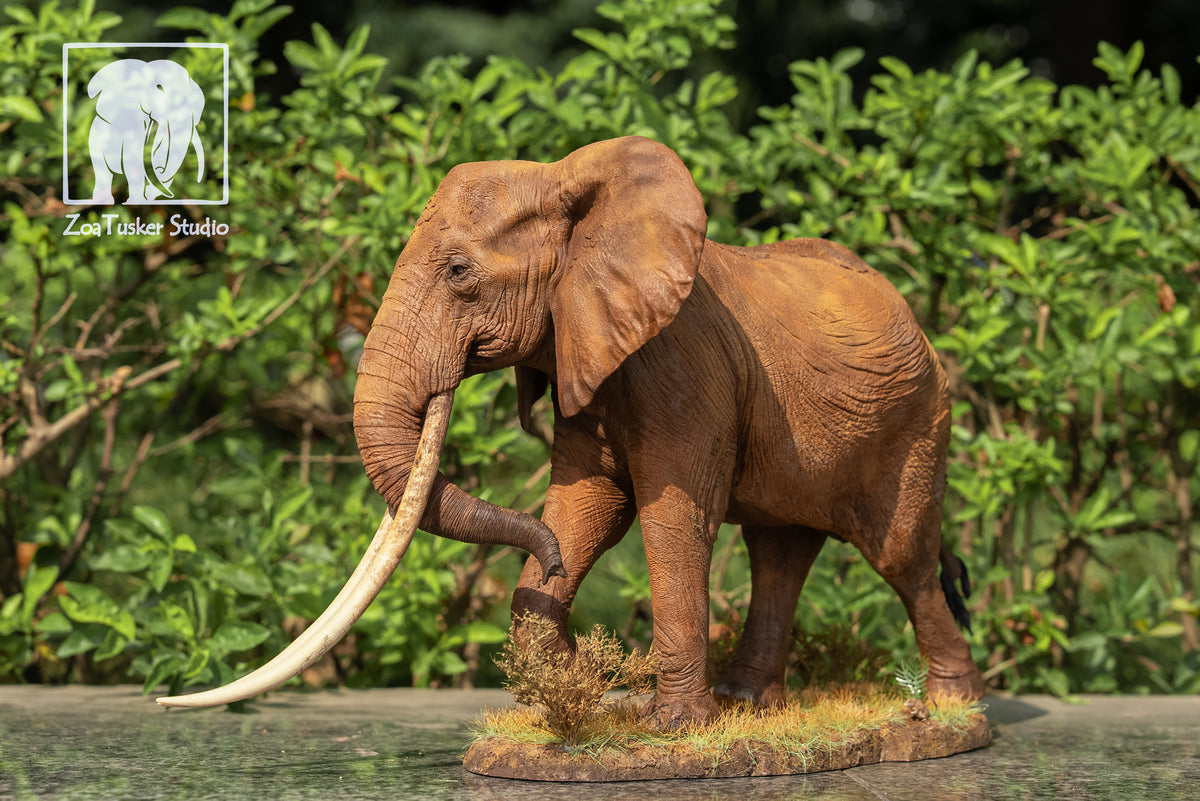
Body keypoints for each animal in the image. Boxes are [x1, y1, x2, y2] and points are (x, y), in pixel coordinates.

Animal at [158, 136, 984, 726]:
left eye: (458, 272)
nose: (590, 651)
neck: (567, 183)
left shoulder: (681, 363)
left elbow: (672, 516)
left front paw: (673, 731)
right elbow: (586, 505)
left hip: (918, 421)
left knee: (901, 555)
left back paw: (950, 710)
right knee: (780, 550)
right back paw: (751, 706)